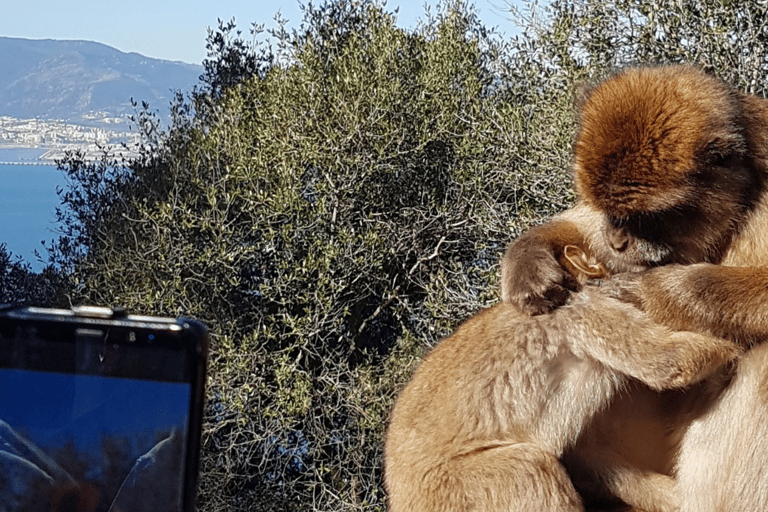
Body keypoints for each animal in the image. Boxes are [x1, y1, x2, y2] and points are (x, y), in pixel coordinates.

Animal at [384, 241, 736, 512]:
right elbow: (669, 362)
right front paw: (731, 353)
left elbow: (586, 454)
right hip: (452, 491)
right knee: (528, 466)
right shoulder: (583, 313)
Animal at [504, 64, 768, 512]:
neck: (744, 200)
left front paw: (653, 293)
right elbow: (581, 233)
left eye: (644, 219)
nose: (617, 240)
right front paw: (529, 261)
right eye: (612, 214)